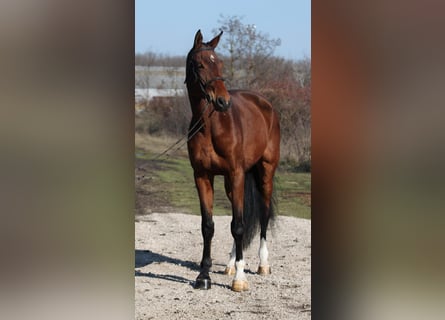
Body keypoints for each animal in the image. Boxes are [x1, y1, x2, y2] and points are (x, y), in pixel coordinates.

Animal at [184, 30, 278, 292]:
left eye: (221, 63)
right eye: (200, 64)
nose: (223, 101)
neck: (210, 126)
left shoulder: (236, 173)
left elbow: (238, 225)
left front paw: (240, 279)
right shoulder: (202, 176)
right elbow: (208, 226)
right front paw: (204, 276)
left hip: (265, 173)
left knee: (263, 215)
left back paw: (262, 265)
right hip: (231, 182)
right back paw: (229, 264)